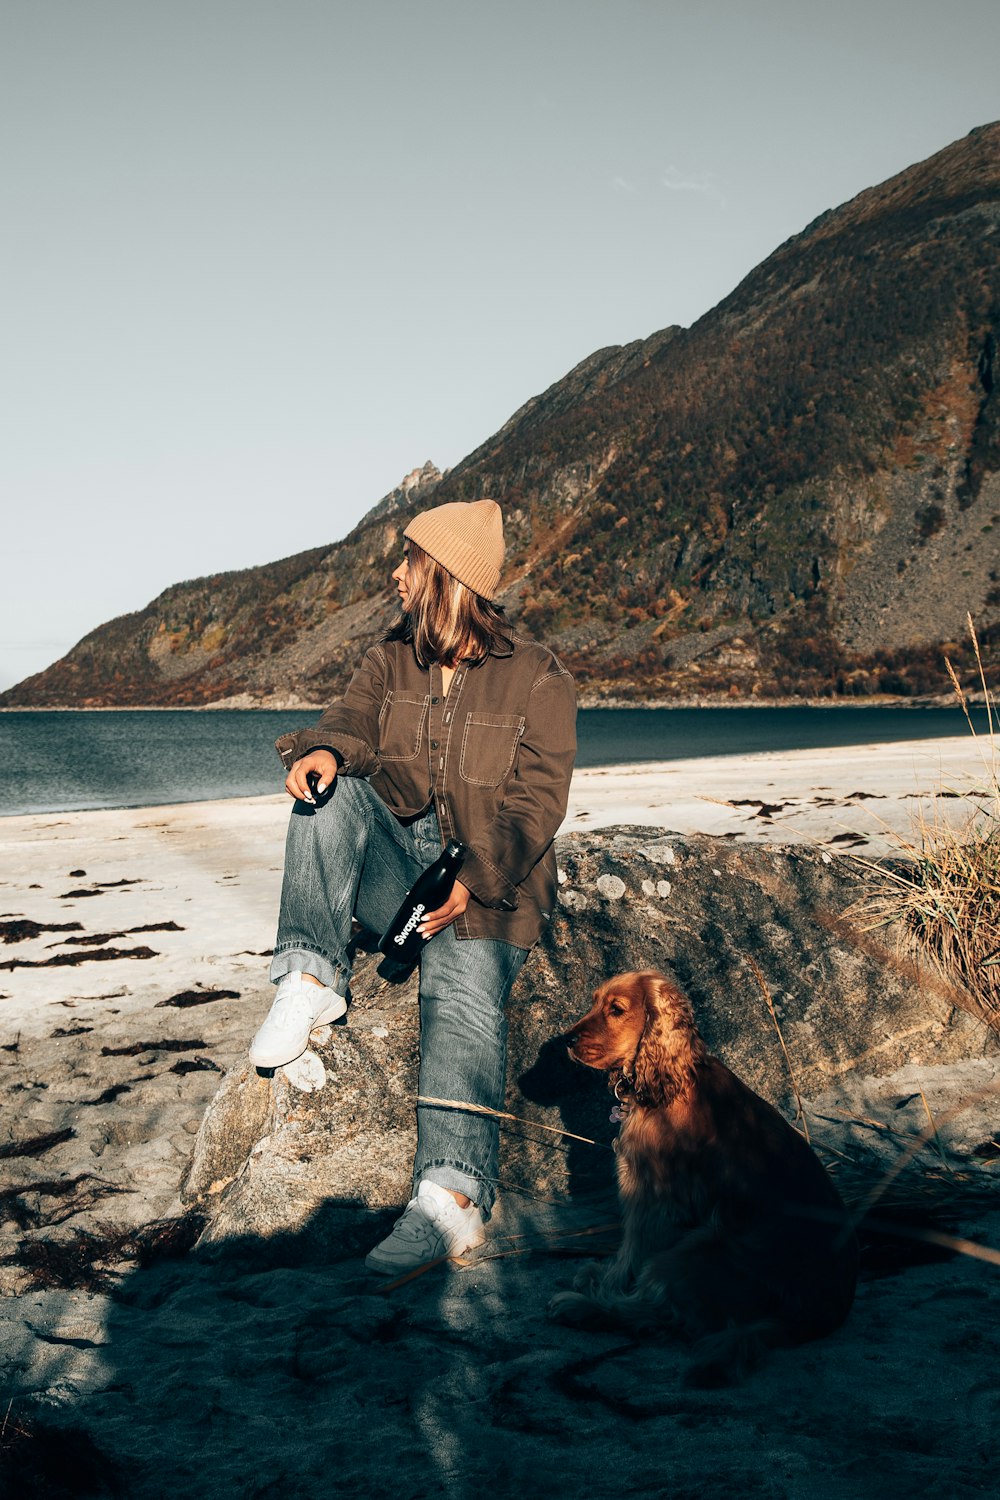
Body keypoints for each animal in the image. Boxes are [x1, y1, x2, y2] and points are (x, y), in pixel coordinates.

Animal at [548, 972, 863, 1380]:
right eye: (594, 1002)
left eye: (616, 1009)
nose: (567, 1040)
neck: (670, 1079)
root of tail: (813, 1319)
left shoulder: (652, 1195)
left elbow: (632, 1248)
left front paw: (608, 1282)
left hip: (696, 1248)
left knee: (658, 1315)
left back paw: (587, 1306)